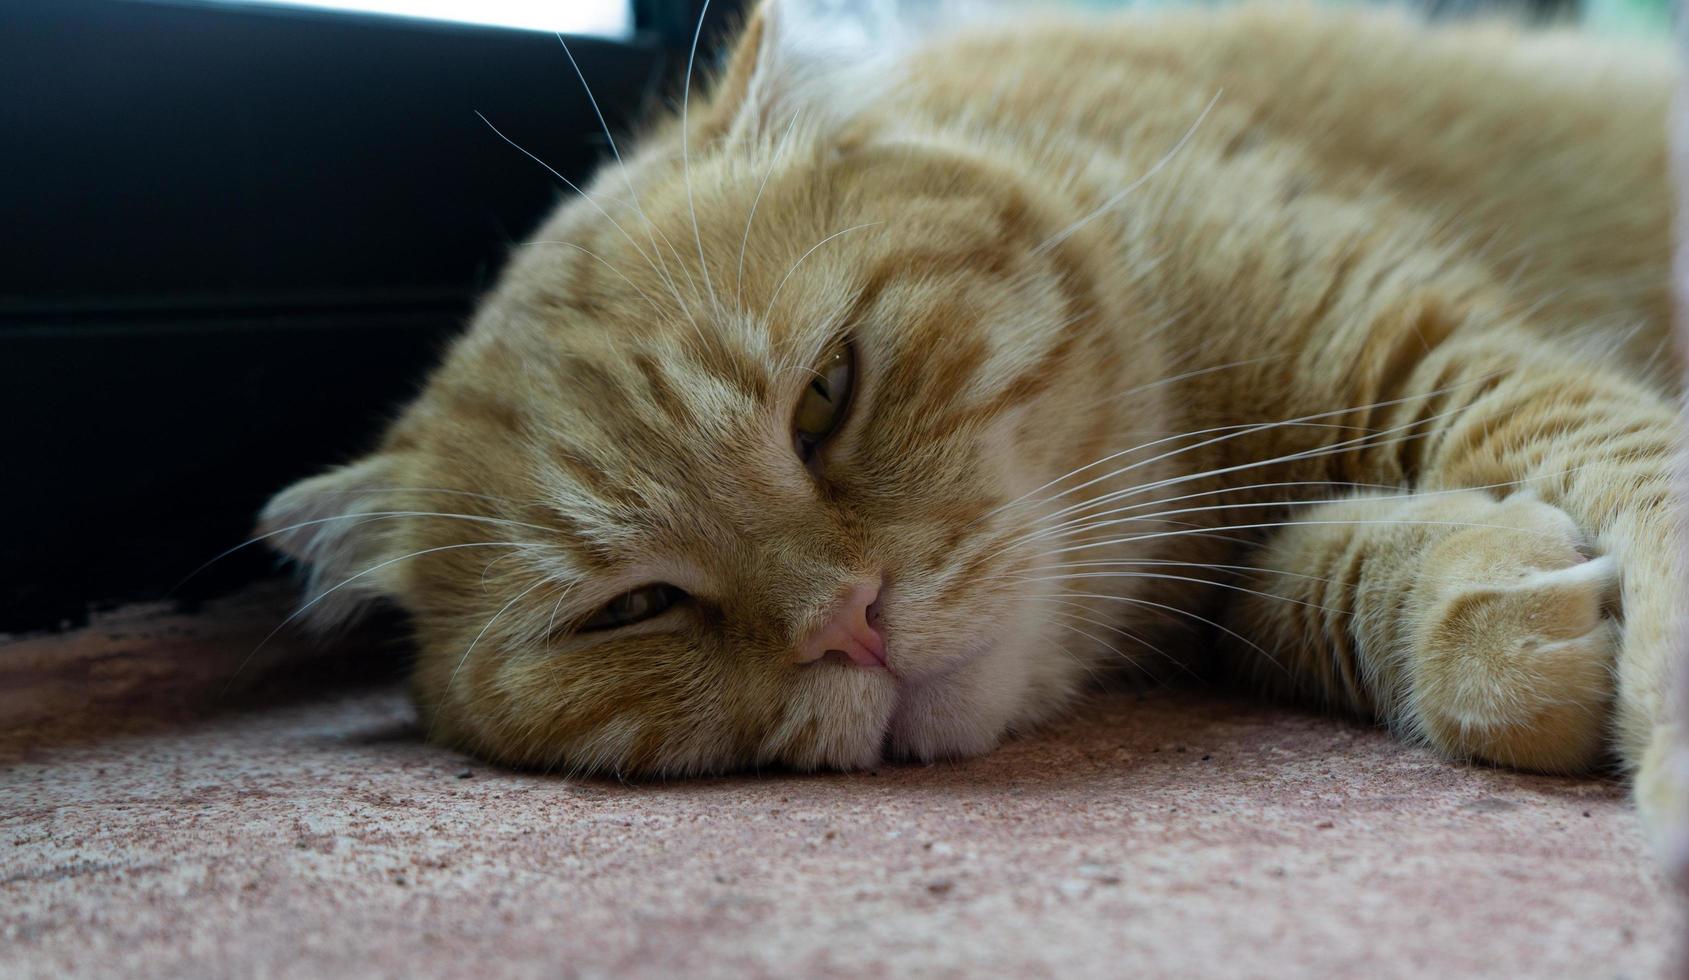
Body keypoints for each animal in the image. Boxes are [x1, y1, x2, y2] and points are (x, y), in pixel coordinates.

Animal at [256, 1, 1682, 834]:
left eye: (826, 394)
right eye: (635, 608)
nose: (849, 621)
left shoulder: (1443, 357)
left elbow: (1645, 488)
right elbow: (1300, 593)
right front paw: (1481, 604)